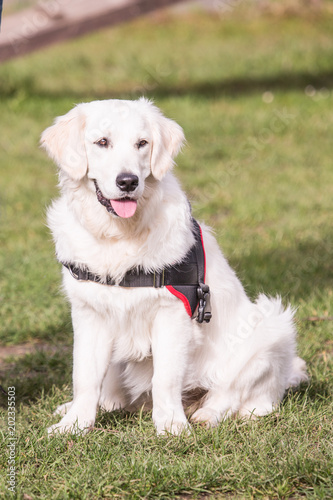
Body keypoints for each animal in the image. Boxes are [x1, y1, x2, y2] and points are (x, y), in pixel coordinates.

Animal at [40, 96, 306, 434]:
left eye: (142, 143)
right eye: (102, 142)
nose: (128, 181)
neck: (120, 235)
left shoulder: (172, 313)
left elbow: (165, 379)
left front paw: (171, 426)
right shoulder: (89, 312)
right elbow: (85, 376)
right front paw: (73, 425)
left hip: (272, 327)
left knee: (236, 395)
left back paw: (207, 414)